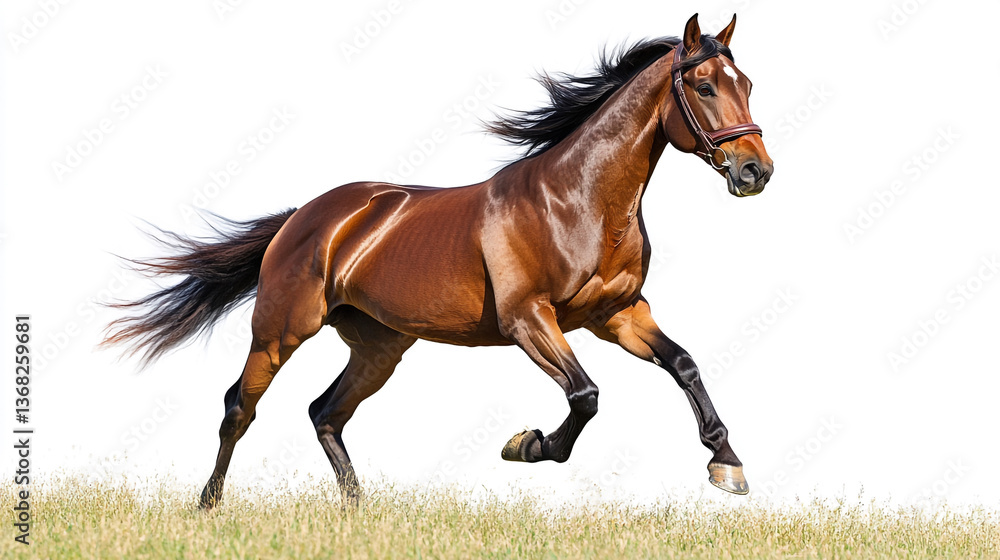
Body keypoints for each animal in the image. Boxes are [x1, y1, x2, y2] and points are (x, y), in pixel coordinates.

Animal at [103, 13, 773, 509]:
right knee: (239, 407)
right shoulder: (529, 319)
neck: (580, 201)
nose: (755, 172)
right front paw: (525, 445)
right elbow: (585, 395)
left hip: (379, 347)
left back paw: (359, 511)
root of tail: (306, 216)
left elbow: (683, 364)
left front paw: (727, 465)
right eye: (705, 86)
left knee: (325, 412)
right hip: (280, 329)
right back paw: (209, 506)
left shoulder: (619, 314)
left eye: (746, 84)